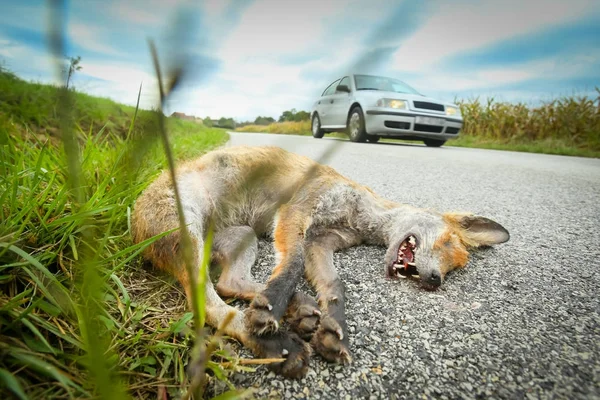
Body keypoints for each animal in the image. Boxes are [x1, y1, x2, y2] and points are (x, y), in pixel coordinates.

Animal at [130, 145, 506, 376]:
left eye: (453, 266)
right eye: (446, 242)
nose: (434, 280)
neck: (357, 217)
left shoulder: (320, 243)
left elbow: (333, 286)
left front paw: (332, 330)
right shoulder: (297, 210)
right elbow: (292, 264)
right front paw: (274, 306)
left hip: (243, 236)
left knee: (229, 283)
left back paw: (300, 309)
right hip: (189, 235)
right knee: (209, 304)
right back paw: (277, 341)